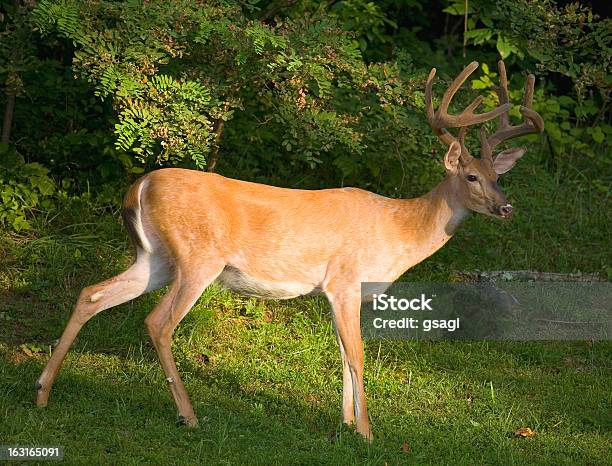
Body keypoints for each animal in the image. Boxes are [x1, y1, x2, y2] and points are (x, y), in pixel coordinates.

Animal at [34, 60, 540, 438]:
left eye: (499, 176)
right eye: (471, 177)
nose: (507, 207)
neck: (397, 229)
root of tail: (139, 185)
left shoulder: (339, 293)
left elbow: (341, 354)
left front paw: (346, 426)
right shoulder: (345, 279)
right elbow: (357, 355)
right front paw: (369, 433)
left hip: (155, 257)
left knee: (92, 293)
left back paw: (42, 391)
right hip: (199, 257)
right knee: (158, 322)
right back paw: (188, 415)